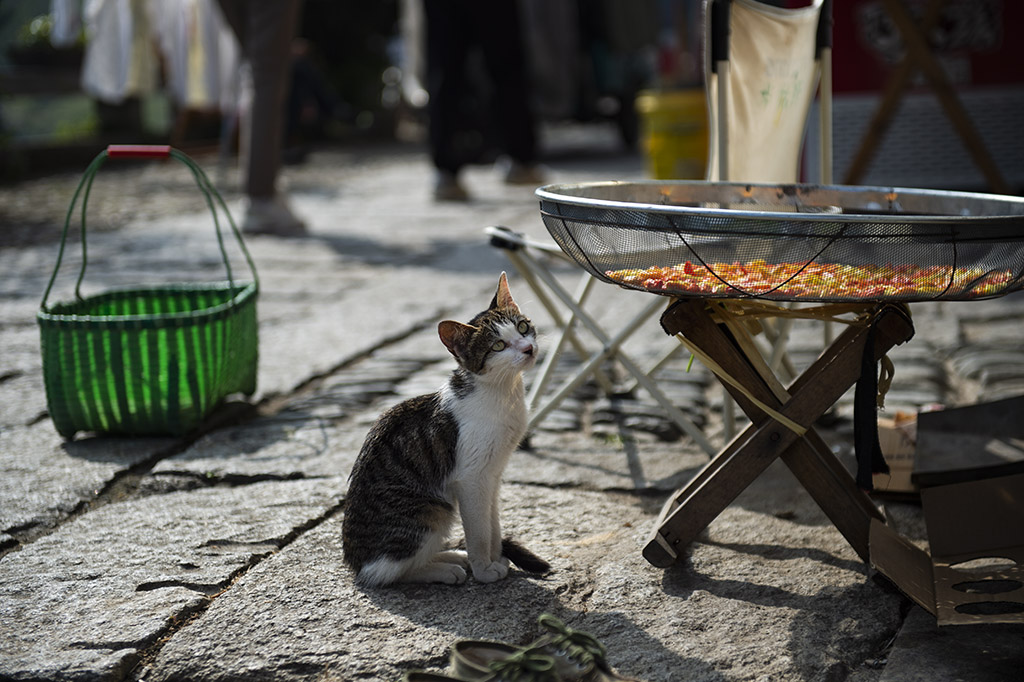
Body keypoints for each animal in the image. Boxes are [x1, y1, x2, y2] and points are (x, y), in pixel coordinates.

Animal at [342, 270, 552, 585]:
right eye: (498, 346)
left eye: (523, 327)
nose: (528, 348)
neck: (503, 392)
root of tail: (355, 563)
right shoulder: (471, 478)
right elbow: (478, 531)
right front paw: (484, 570)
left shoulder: (492, 475)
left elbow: (492, 524)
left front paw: (496, 557)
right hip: (432, 509)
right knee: (388, 573)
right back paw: (444, 569)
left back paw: (452, 556)